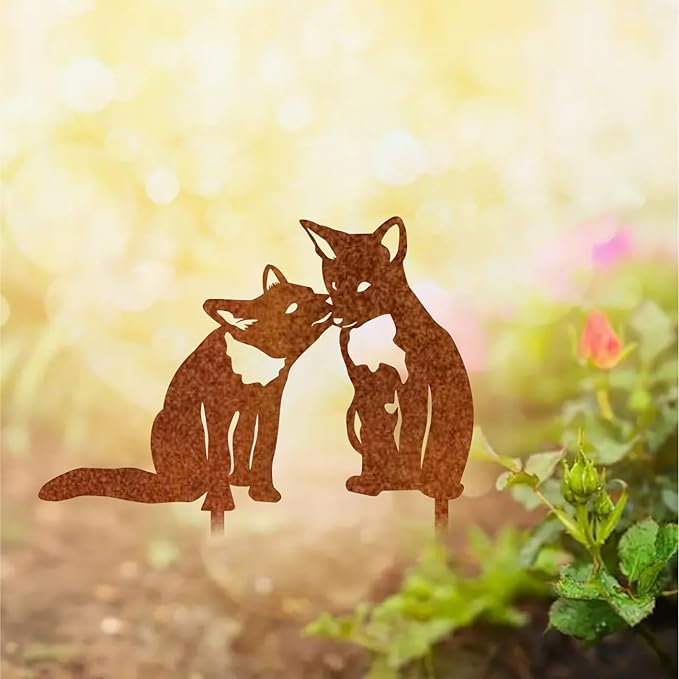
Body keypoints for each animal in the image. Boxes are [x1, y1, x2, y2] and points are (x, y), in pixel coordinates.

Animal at [38, 265, 333, 513]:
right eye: (293, 307)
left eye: (311, 291)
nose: (329, 299)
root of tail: (162, 480)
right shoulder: (218, 406)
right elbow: (224, 453)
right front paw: (222, 500)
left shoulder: (268, 402)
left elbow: (258, 447)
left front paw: (260, 491)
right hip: (174, 423)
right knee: (189, 485)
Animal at [300, 217, 474, 501]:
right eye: (334, 284)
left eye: (364, 285)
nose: (337, 317)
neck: (372, 330)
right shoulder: (364, 384)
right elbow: (373, 436)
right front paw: (370, 481)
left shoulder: (411, 383)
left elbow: (408, 438)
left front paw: (403, 480)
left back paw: (427, 484)